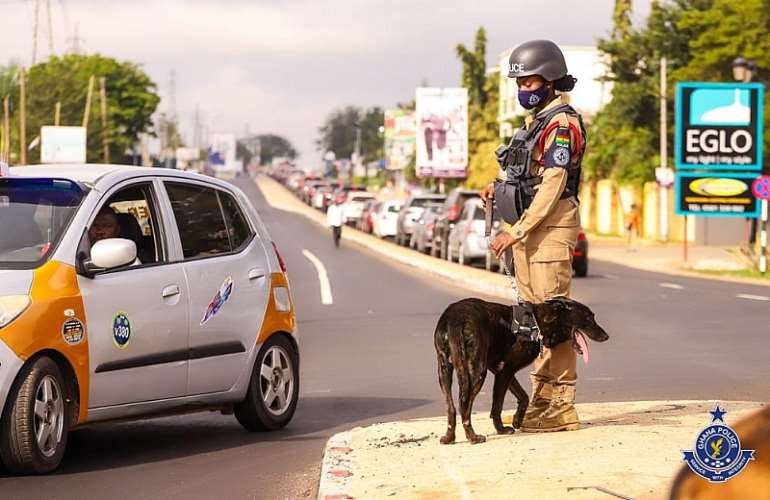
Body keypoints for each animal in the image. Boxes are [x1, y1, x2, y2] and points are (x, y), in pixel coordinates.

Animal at [432, 294, 608, 444]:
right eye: (589, 317)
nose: (606, 336)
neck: (538, 323)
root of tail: (454, 318)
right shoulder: (505, 371)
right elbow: (497, 406)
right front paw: (501, 430)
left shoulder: (501, 370)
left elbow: (523, 396)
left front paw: (517, 419)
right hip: (477, 372)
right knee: (464, 404)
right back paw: (472, 437)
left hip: (444, 370)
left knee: (451, 407)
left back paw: (449, 437)